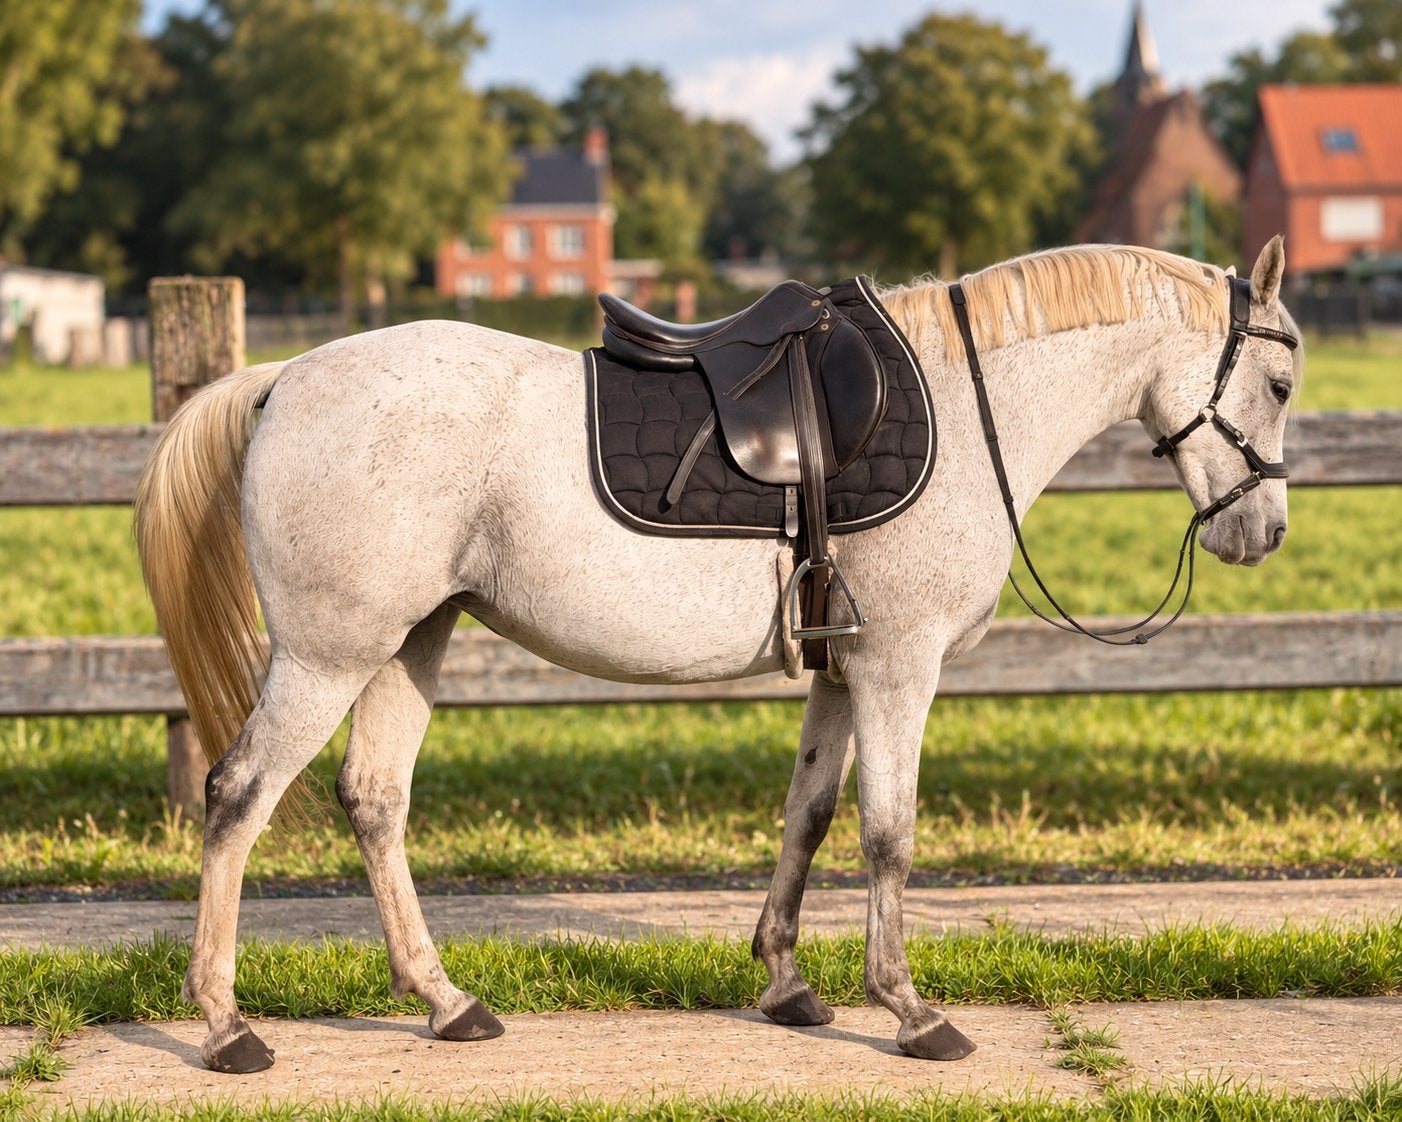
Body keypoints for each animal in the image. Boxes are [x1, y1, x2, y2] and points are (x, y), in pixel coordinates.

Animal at [134, 237, 1301, 1073]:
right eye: (1282, 389)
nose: (1264, 533)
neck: (968, 410)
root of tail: (285, 379)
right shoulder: (899, 668)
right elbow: (888, 836)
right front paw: (911, 1010)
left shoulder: (841, 667)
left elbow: (810, 816)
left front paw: (785, 985)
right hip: (328, 656)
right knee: (238, 795)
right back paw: (226, 1027)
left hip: (407, 644)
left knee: (374, 801)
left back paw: (444, 1001)